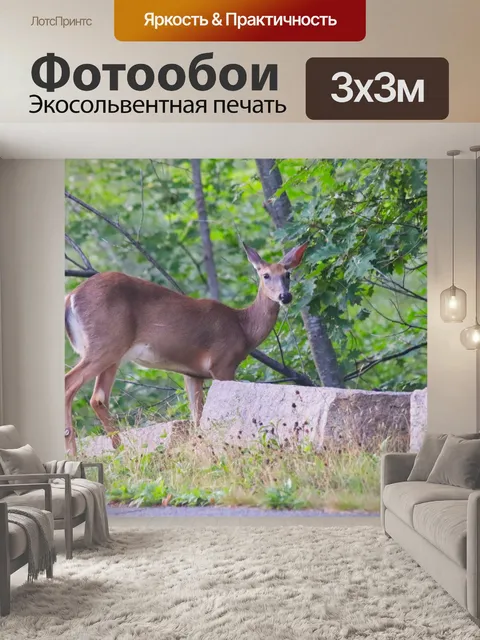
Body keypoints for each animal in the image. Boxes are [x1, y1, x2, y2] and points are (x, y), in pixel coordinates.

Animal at [64, 242, 308, 455]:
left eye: (287, 274)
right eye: (265, 275)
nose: (285, 296)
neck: (243, 328)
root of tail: (70, 297)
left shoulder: (192, 374)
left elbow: (197, 417)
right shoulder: (223, 364)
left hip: (112, 352)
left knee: (97, 398)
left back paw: (120, 451)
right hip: (106, 344)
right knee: (70, 384)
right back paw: (74, 453)